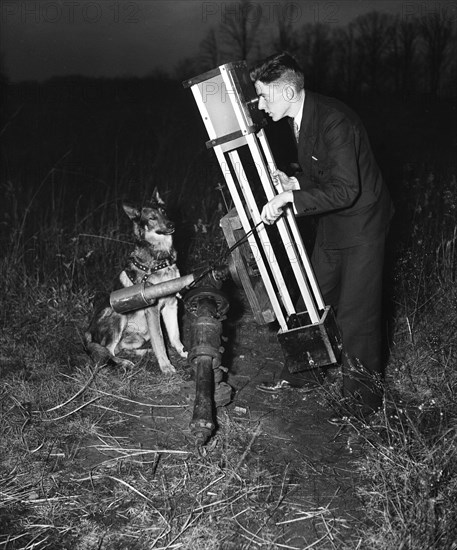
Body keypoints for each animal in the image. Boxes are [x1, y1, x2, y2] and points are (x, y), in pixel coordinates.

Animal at [84, 190, 186, 376]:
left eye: (164, 211)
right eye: (152, 218)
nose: (171, 225)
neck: (161, 259)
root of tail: (87, 333)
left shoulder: (171, 304)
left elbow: (175, 336)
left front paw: (184, 353)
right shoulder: (152, 309)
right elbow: (160, 341)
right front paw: (166, 367)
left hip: (139, 336)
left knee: (120, 349)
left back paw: (144, 352)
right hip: (118, 314)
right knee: (108, 351)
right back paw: (124, 363)